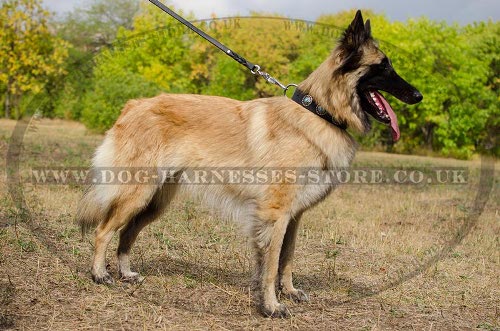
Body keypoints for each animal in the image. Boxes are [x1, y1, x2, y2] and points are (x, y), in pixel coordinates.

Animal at [77, 11, 422, 320]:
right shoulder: (276, 214)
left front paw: (288, 292)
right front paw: (270, 306)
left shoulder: (293, 216)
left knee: (126, 233)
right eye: (383, 66)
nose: (419, 95)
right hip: (137, 193)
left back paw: (125, 273)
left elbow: (287, 258)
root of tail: (134, 105)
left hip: (154, 201)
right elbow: (270, 265)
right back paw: (100, 275)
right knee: (103, 230)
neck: (319, 112)